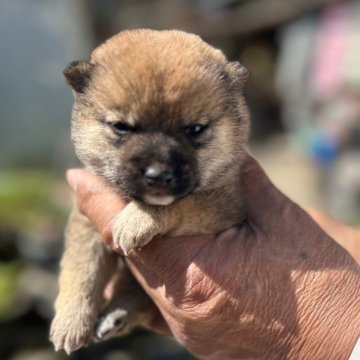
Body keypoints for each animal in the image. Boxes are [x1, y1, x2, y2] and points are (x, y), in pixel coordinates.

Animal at [49, 28, 249, 354]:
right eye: (121, 127)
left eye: (195, 129)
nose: (158, 175)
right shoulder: (85, 222)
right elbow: (81, 269)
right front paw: (70, 320)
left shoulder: (223, 204)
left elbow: (181, 204)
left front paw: (136, 221)